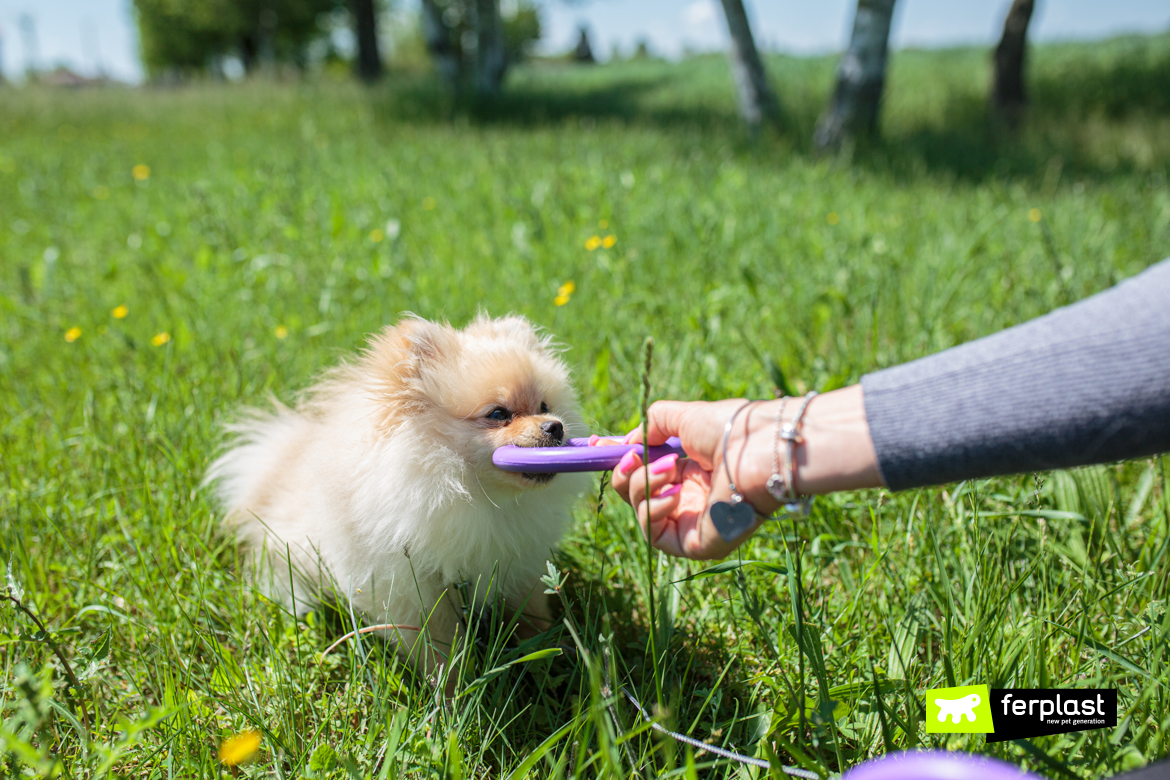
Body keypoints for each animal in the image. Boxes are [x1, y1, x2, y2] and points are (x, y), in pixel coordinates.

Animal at [207, 313, 589, 673]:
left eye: (544, 406)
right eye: (498, 413)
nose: (555, 427)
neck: (477, 497)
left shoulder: (519, 561)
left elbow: (532, 613)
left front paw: (551, 652)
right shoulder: (409, 590)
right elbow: (438, 648)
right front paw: (451, 690)